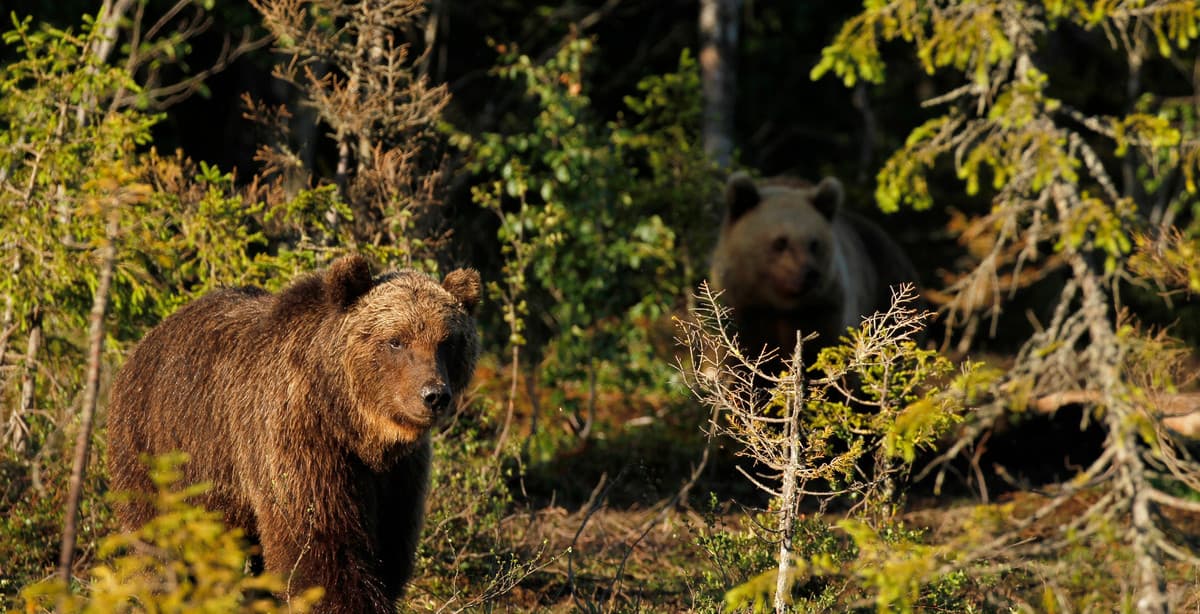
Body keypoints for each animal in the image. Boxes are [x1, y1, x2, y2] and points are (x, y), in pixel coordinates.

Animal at [106, 254, 481, 613]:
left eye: (447, 341)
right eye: (396, 341)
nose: (433, 395)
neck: (354, 425)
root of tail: (146, 340)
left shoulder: (399, 474)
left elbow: (391, 546)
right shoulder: (300, 440)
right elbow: (320, 545)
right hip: (159, 450)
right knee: (159, 540)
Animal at [710, 172, 918, 370]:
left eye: (814, 243)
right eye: (780, 242)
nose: (810, 274)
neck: (780, 308)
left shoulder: (824, 314)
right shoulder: (743, 314)